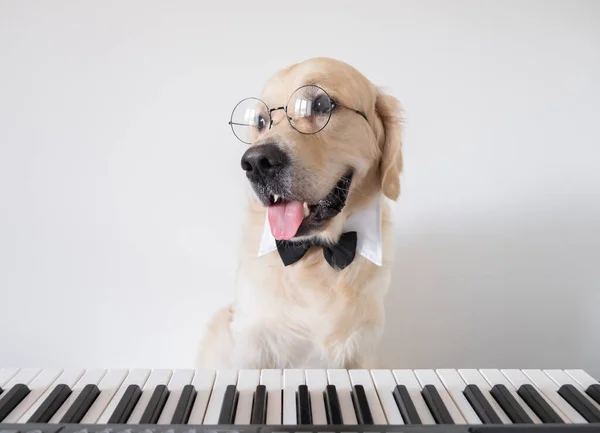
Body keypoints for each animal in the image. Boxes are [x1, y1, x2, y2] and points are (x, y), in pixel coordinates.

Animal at [197, 56, 404, 368]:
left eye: (321, 104)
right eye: (260, 121)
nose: (256, 163)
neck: (315, 252)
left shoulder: (361, 351)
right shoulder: (251, 347)